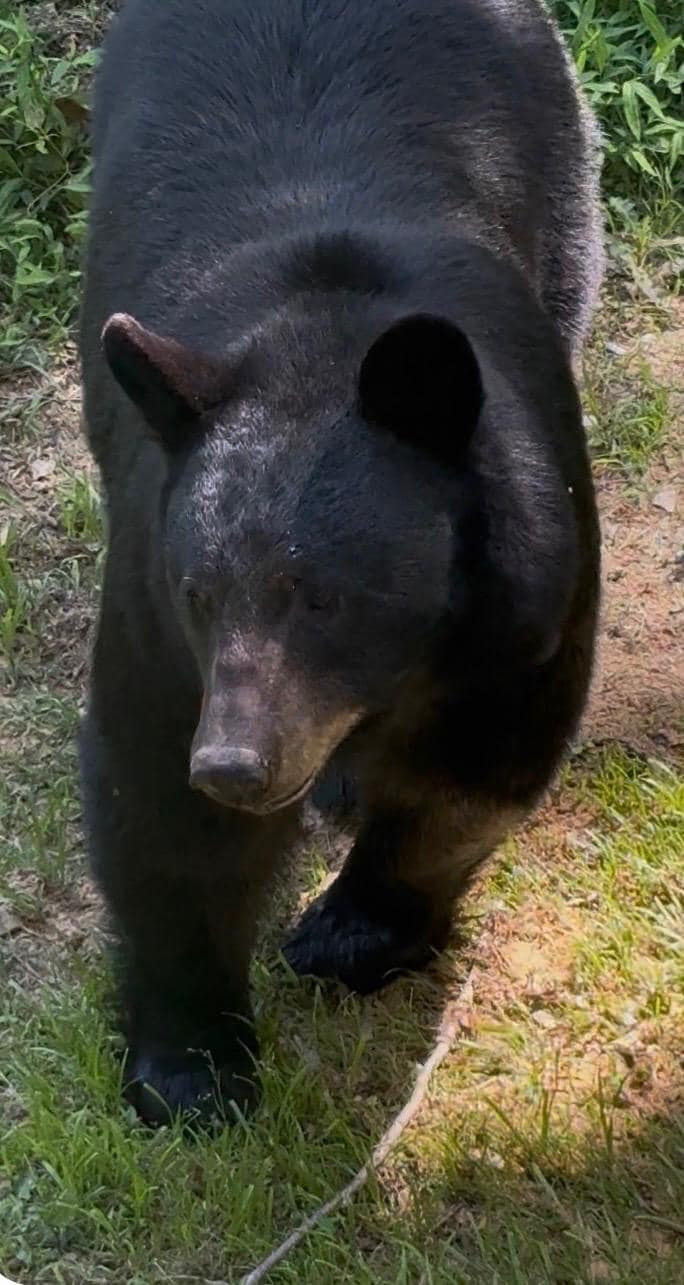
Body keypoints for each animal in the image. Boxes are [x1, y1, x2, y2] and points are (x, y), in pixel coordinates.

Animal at [79, 0, 602, 1125]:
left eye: (320, 595)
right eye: (198, 591)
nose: (236, 763)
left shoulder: (527, 598)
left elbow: (473, 774)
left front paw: (348, 933)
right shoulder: (151, 608)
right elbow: (157, 806)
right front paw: (191, 1067)